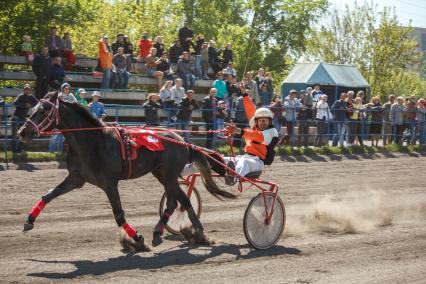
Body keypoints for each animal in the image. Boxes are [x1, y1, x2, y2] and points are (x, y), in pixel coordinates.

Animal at [18, 91, 235, 251]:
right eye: (33, 108)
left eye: (44, 110)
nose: (22, 132)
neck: (93, 141)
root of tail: (183, 141)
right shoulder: (76, 178)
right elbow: (48, 195)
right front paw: (29, 220)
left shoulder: (109, 183)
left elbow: (118, 214)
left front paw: (137, 239)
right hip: (163, 174)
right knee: (180, 201)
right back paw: (178, 232)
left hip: (169, 175)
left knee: (177, 201)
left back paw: (188, 233)